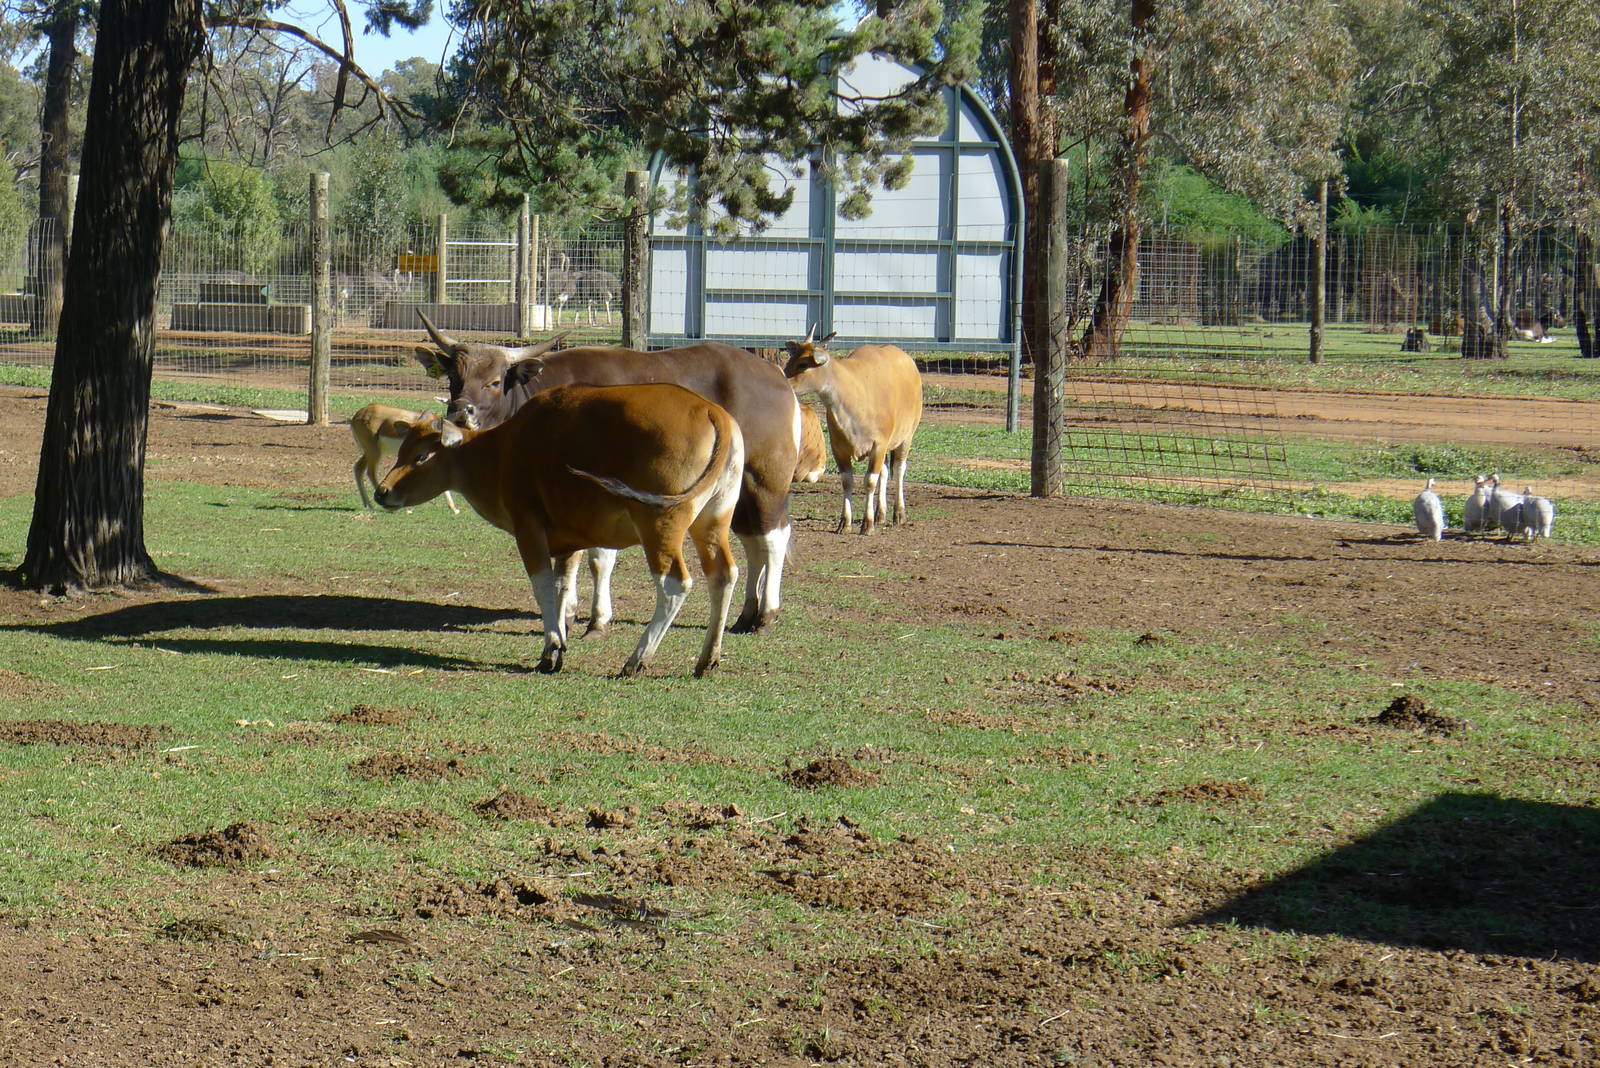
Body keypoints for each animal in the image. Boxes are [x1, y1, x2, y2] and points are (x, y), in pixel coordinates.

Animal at [374, 383, 745, 677]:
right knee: (723, 575)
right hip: (713, 521)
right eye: (402, 451)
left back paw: (637, 660)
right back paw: (707, 659)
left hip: (659, 524)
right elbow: (563, 587)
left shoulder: (529, 529)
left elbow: (543, 588)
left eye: (421, 457)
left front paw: (551, 649)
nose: (382, 492)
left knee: (674, 584)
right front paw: (557, 643)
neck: (503, 451)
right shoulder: (569, 541)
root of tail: (711, 411)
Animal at [412, 312, 801, 634]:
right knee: (752, 538)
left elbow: (596, 558)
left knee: (774, 535)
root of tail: (777, 377)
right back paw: (747, 614)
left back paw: (767, 614)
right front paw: (573, 611)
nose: (461, 412)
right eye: (454, 377)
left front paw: (591, 618)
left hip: (765, 478)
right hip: (734, 489)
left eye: (494, 381)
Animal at [782, 326, 923, 534]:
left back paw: (899, 514)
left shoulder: (879, 445)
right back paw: (880, 514)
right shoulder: (839, 449)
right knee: (885, 472)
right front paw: (845, 523)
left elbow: (870, 481)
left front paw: (867, 524)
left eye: (803, 364)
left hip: (906, 437)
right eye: (790, 360)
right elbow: (847, 481)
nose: (781, 378)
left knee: (898, 470)